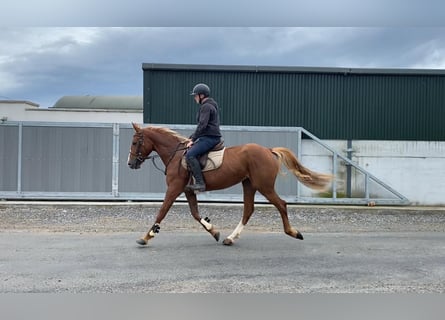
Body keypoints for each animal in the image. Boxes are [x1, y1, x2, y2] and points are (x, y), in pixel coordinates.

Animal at [126, 122, 332, 245]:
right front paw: (214, 231)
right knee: (248, 210)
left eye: (135, 142)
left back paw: (293, 232)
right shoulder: (188, 190)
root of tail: (268, 150)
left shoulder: (174, 188)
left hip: (264, 186)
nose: (130, 163)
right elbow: (195, 214)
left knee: (281, 204)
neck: (176, 155)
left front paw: (146, 236)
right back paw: (230, 238)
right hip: (249, 184)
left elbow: (162, 211)